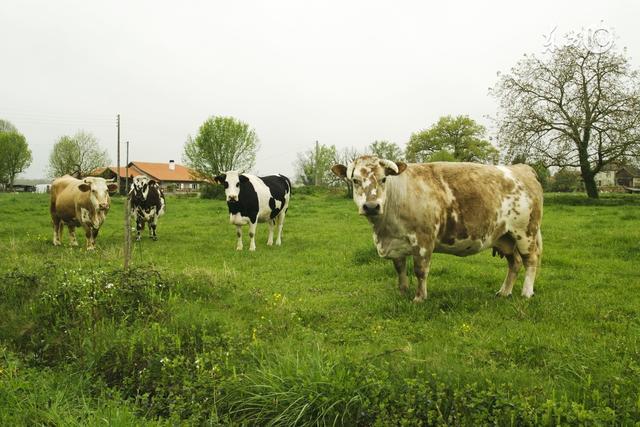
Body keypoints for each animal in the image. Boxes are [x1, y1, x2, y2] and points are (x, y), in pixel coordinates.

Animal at [332, 156, 544, 300]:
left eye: (384, 179)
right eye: (355, 181)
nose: (371, 206)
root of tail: (521, 168)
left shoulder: (423, 240)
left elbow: (420, 270)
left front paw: (419, 298)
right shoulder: (396, 243)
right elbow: (399, 268)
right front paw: (402, 291)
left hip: (526, 233)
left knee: (530, 260)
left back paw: (526, 293)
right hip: (505, 237)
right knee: (515, 262)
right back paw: (504, 292)